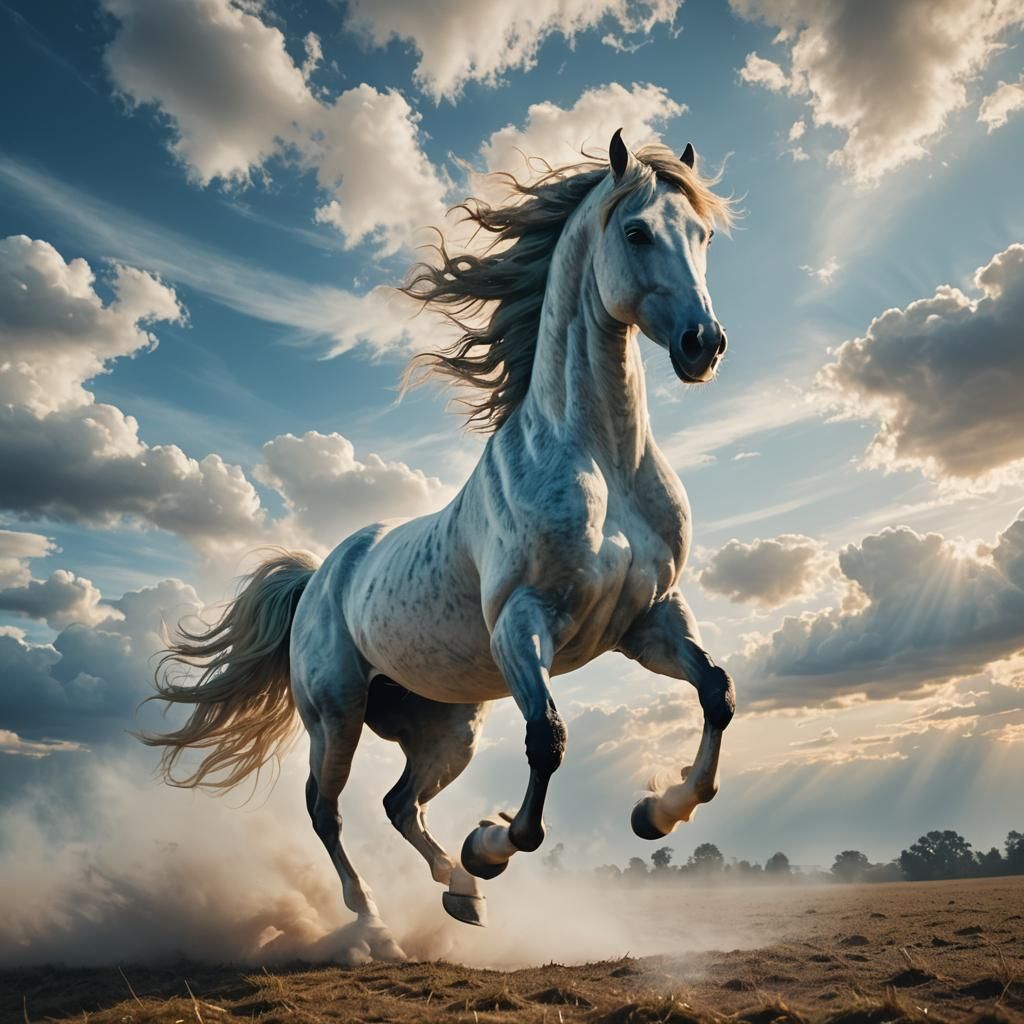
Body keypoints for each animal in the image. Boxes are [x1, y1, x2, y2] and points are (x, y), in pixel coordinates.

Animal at [142, 130, 738, 962]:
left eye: (704, 235)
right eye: (637, 232)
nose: (703, 345)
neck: (603, 462)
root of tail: (319, 576)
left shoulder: (649, 620)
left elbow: (717, 692)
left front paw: (655, 811)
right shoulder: (524, 625)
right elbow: (548, 741)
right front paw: (492, 844)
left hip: (446, 729)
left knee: (398, 804)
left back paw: (458, 893)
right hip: (337, 714)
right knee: (326, 810)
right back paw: (379, 926)